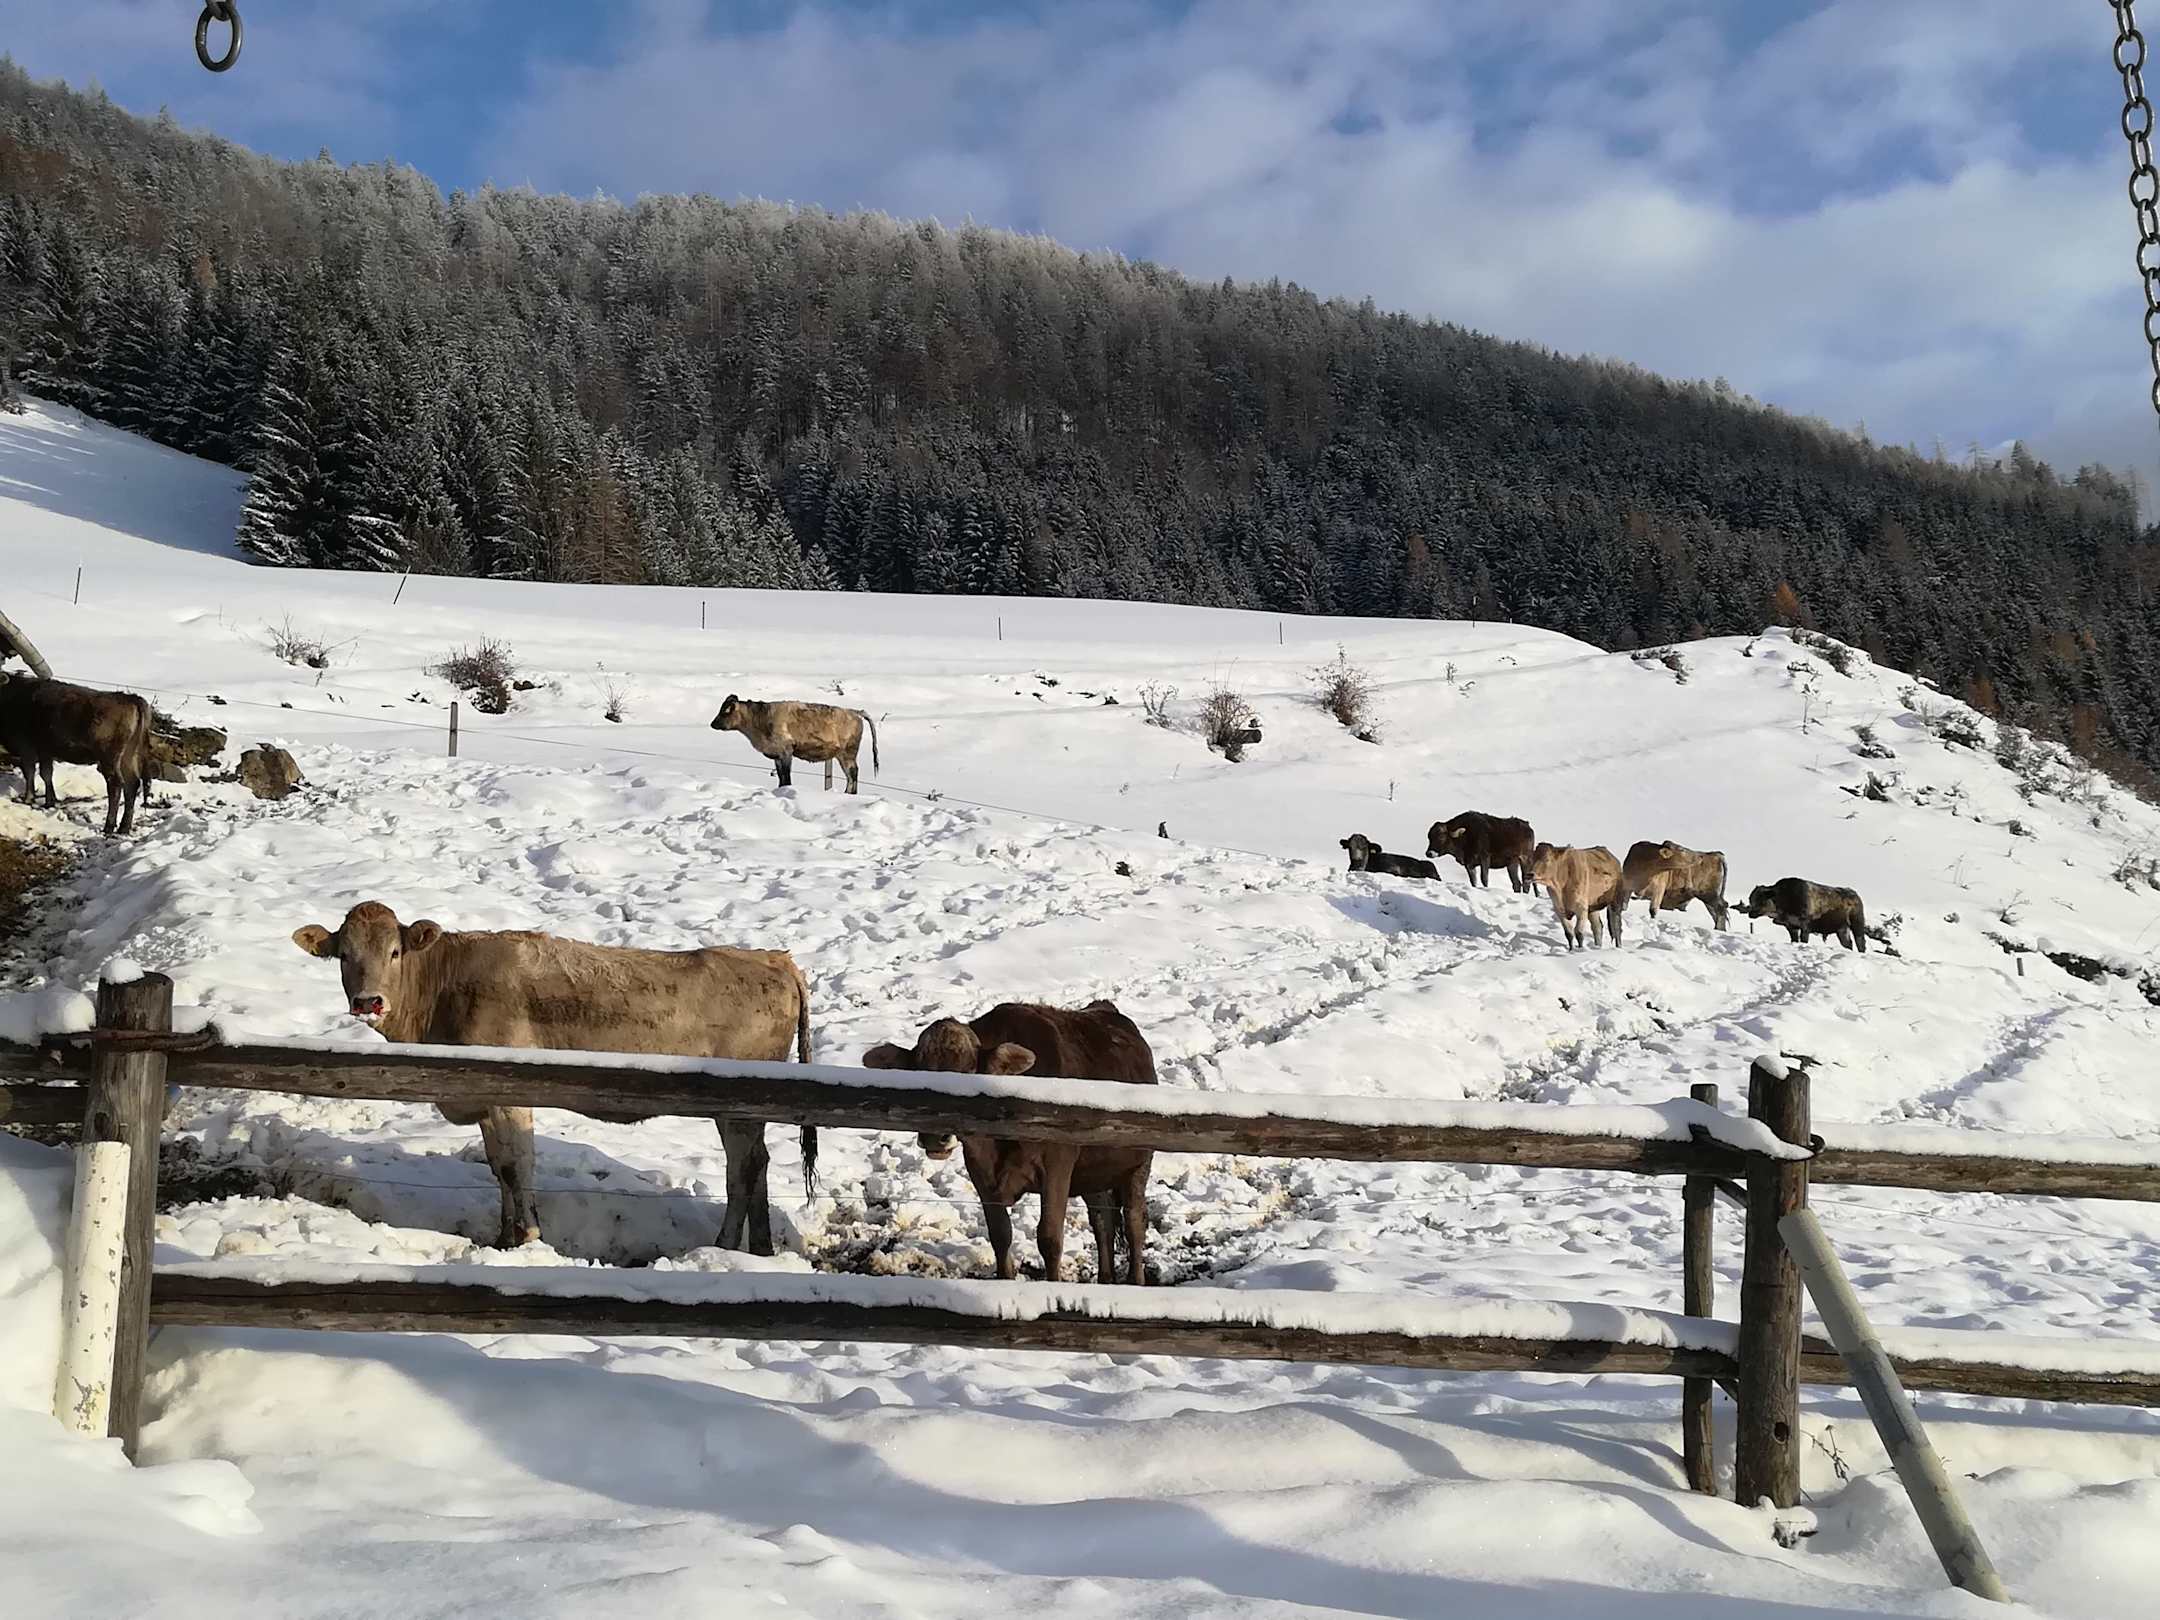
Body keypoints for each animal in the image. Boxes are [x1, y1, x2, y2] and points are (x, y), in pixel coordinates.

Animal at [0, 673, 154, 836]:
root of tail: (130, 698)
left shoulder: (27, 746)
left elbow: (29, 771)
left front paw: (28, 799)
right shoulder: (45, 750)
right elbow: (46, 774)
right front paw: (50, 801)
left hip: (109, 757)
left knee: (116, 785)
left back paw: (109, 826)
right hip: (128, 756)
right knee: (132, 784)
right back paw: (124, 827)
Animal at [291, 901, 815, 1254]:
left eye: (396, 951)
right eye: (343, 955)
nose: (368, 1001)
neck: (443, 994)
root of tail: (775, 959)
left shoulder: (509, 1096)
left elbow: (516, 1167)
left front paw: (527, 1237)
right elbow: (498, 1167)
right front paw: (503, 1237)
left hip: (738, 1107)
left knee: (742, 1168)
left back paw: (724, 1245)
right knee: (757, 1164)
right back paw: (759, 1248)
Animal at [711, 695, 881, 793]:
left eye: (725, 711)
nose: (713, 724)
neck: (760, 719)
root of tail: (855, 712)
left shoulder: (786, 752)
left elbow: (786, 776)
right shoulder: (777, 755)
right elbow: (781, 777)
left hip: (847, 754)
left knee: (852, 773)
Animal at [862, 1000, 1156, 1285]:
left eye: (968, 1071)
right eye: (917, 1072)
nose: (934, 1136)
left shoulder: (1057, 1165)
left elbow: (1049, 1238)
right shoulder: (980, 1171)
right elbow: (1000, 1234)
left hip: (1139, 1163)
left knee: (1134, 1221)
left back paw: (1136, 1280)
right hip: (1095, 1171)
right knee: (1102, 1219)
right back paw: (1106, 1280)